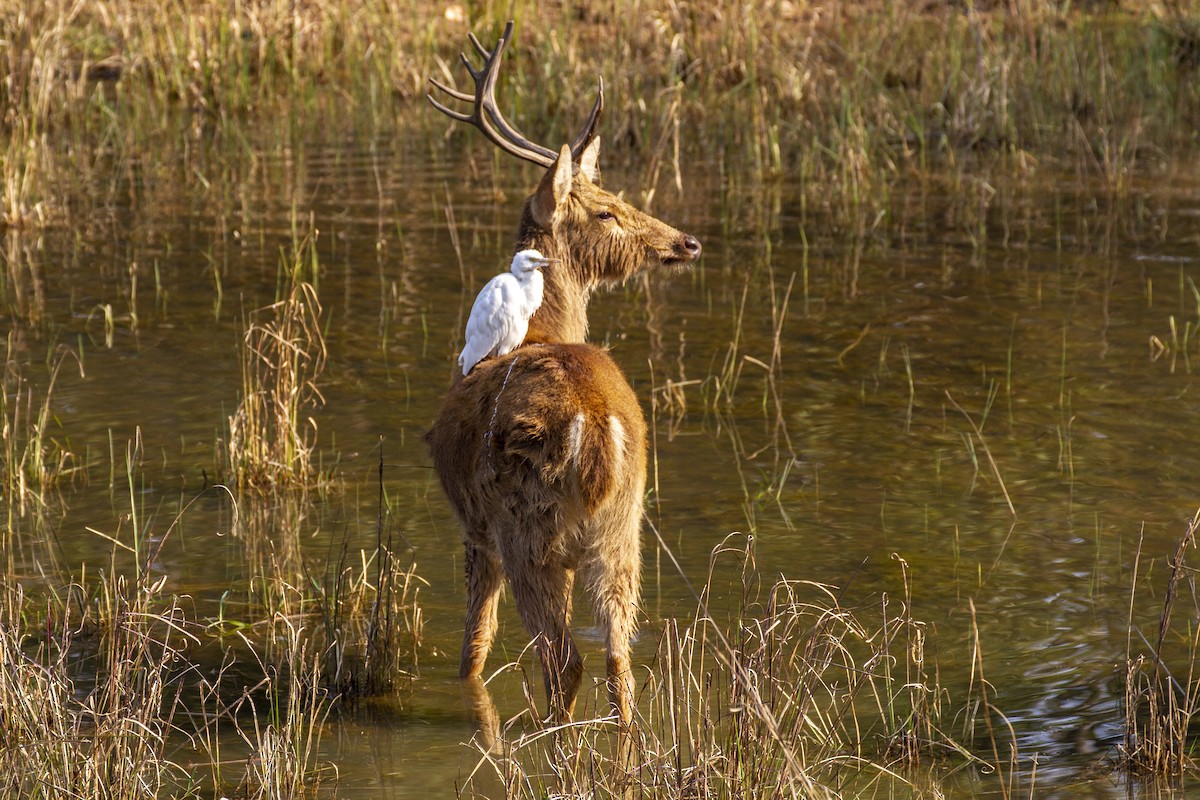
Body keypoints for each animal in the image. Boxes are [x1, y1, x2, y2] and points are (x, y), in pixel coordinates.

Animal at [424, 20, 700, 734]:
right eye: (607, 209)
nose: (686, 241)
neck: (538, 326)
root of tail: (598, 433)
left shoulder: (474, 529)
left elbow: (473, 645)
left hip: (527, 530)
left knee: (562, 657)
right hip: (624, 532)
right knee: (618, 658)